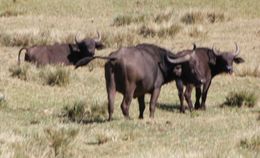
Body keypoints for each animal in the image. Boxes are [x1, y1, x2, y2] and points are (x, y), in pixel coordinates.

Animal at [74, 43, 204, 119]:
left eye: (197, 63)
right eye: (191, 66)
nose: (202, 80)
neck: (160, 62)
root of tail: (115, 57)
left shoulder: (141, 92)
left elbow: (142, 106)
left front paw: (141, 117)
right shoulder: (156, 88)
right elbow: (152, 105)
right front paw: (151, 118)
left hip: (110, 86)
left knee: (110, 104)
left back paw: (110, 119)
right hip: (129, 89)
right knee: (124, 105)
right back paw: (128, 118)